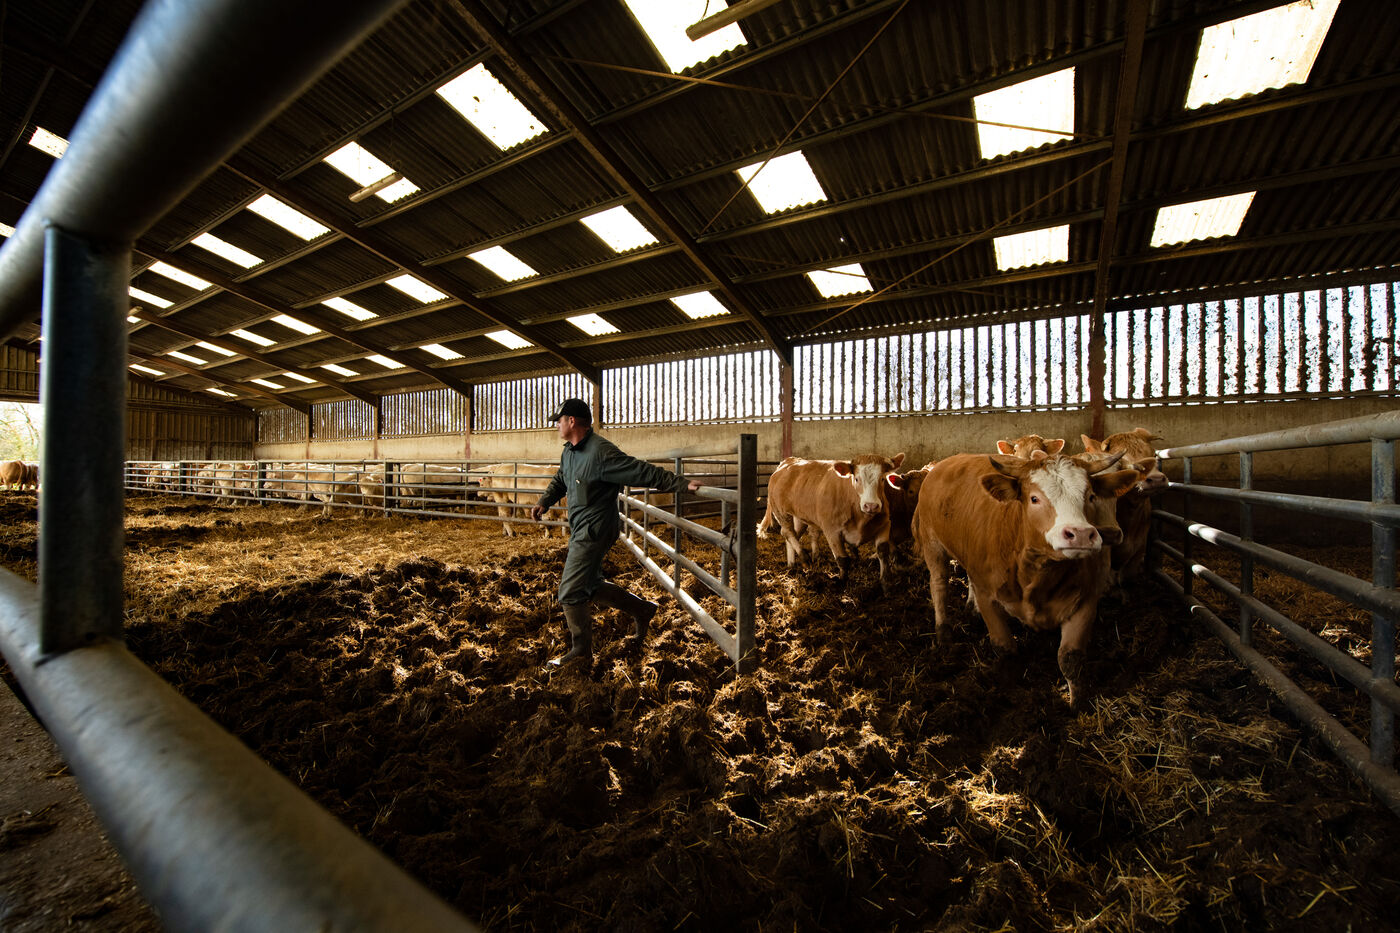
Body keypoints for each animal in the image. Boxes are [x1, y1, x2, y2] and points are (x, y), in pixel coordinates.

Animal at [758, 452, 907, 586]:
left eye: (882, 479)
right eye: (857, 479)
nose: (871, 506)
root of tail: (788, 461)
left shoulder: (885, 525)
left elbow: (883, 553)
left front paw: (886, 583)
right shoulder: (832, 531)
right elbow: (842, 559)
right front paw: (842, 582)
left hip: (800, 516)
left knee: (794, 534)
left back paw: (792, 563)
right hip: (781, 512)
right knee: (787, 532)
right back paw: (804, 557)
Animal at [911, 450, 1138, 707]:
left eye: (1090, 496)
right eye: (1034, 499)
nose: (1080, 534)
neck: (1037, 572)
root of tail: (942, 464)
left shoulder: (1086, 600)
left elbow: (1070, 659)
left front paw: (1077, 704)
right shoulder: (988, 595)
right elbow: (1005, 648)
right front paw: (1009, 689)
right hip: (932, 544)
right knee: (939, 585)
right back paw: (944, 633)